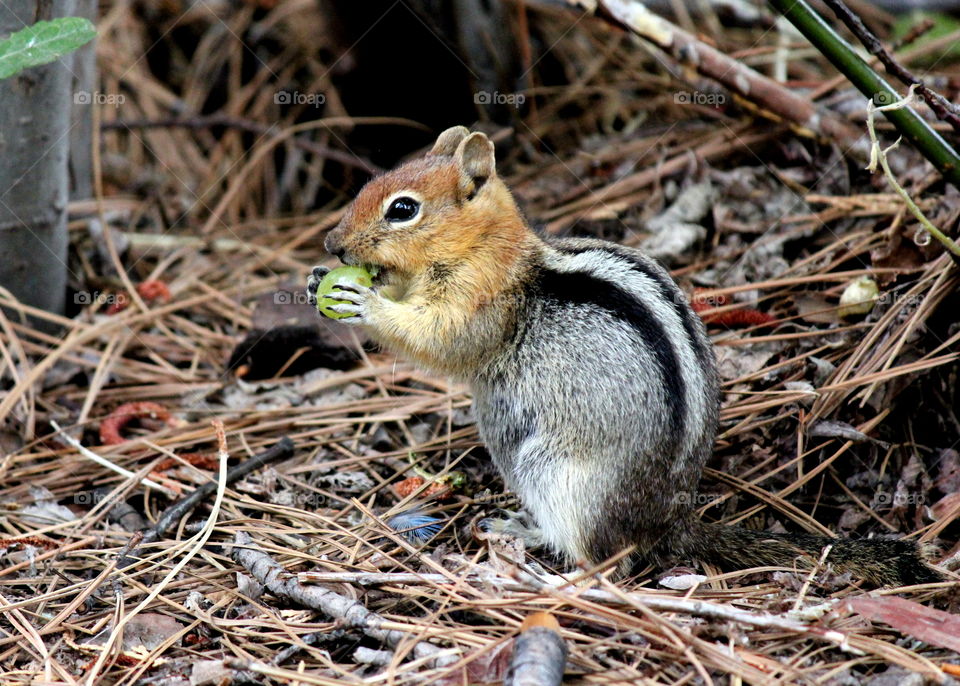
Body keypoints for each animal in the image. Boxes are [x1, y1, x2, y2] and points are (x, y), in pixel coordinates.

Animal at [306, 125, 942, 586]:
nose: (332, 245)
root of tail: (670, 521)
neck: (488, 248)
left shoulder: (478, 303)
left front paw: (364, 301)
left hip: (563, 480)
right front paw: (321, 281)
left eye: (402, 209)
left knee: (608, 562)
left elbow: (440, 341)